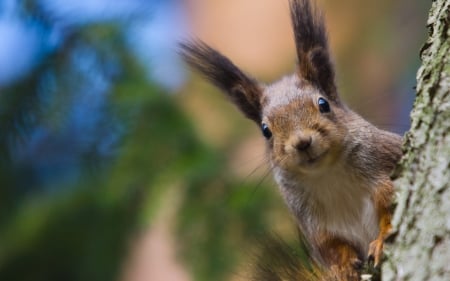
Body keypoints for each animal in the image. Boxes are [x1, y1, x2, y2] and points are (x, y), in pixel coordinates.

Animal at [181, 0, 402, 278]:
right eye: (266, 130)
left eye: (323, 104)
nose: (302, 142)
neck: (328, 176)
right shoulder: (317, 228)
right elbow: (334, 249)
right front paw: (341, 269)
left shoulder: (383, 165)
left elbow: (390, 209)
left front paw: (382, 239)